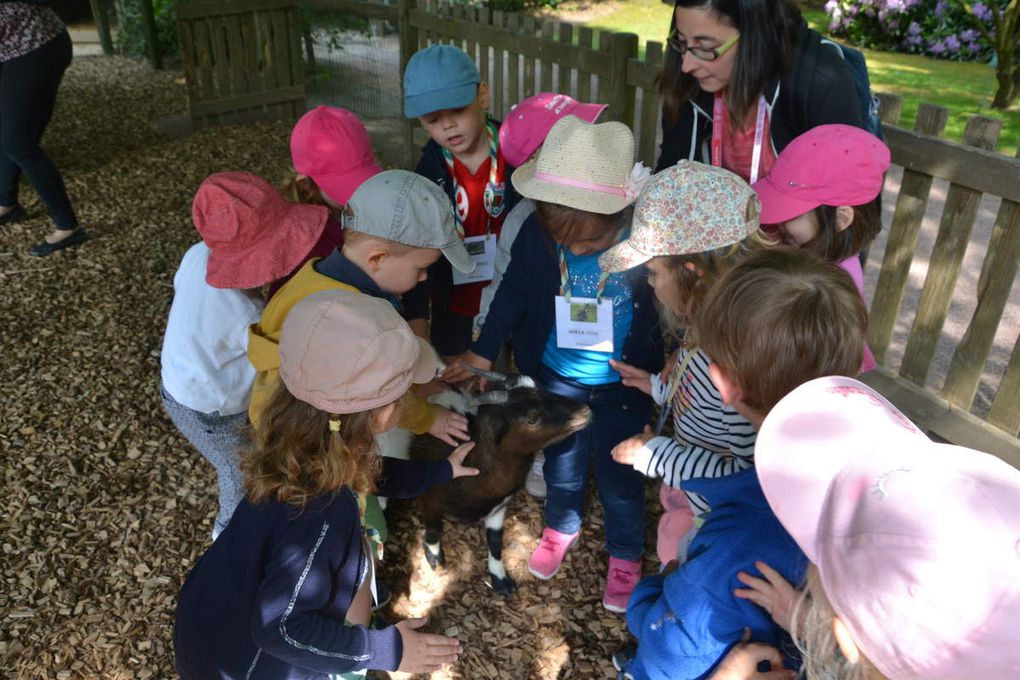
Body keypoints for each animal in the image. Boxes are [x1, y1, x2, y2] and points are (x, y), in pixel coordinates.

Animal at [405, 377, 591, 595]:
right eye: (532, 419)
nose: (586, 410)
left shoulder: (499, 506)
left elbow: (495, 540)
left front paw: (500, 579)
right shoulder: (430, 499)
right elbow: (434, 529)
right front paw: (435, 559)